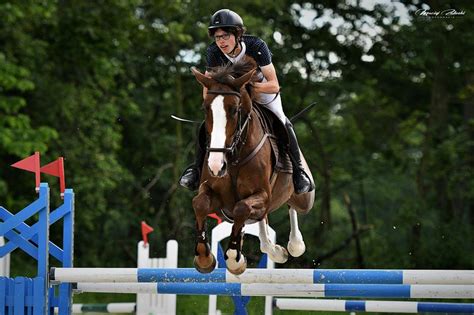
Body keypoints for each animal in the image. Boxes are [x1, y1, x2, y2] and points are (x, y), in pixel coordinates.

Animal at [189, 58, 314, 276]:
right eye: (206, 108)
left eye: (235, 109)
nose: (216, 165)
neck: (234, 158)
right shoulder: (214, 194)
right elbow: (200, 204)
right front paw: (204, 258)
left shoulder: (262, 194)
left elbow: (242, 208)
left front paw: (234, 259)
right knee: (261, 220)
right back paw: (274, 250)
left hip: (304, 198)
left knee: (292, 206)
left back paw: (294, 245)